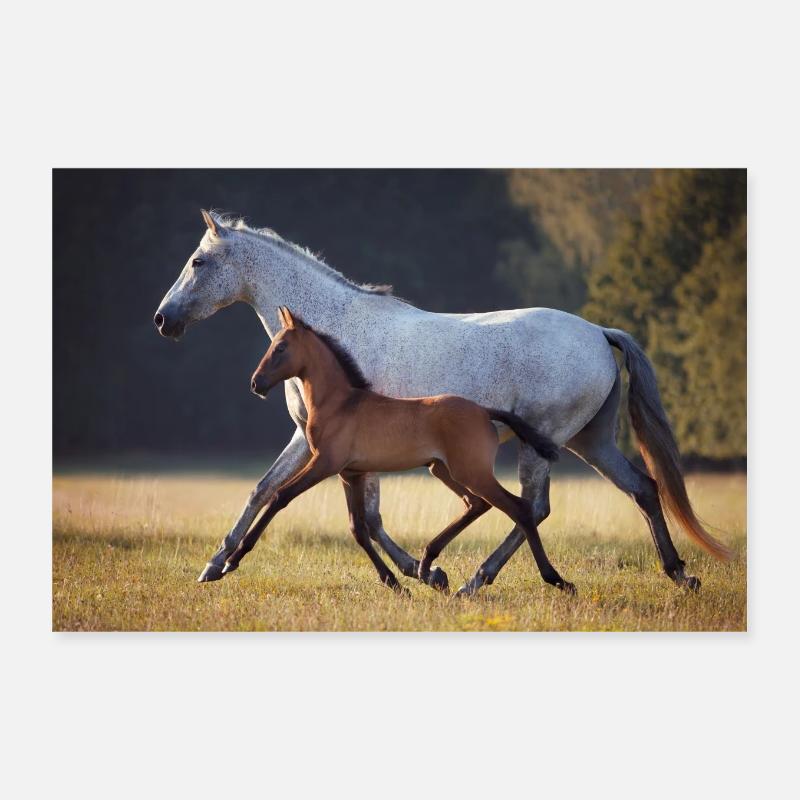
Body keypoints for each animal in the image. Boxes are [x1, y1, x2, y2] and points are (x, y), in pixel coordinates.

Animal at [225, 305, 570, 594]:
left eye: (281, 347)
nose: (256, 383)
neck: (339, 404)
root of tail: (485, 412)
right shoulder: (350, 474)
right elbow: (358, 528)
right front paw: (395, 583)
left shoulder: (324, 464)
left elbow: (279, 496)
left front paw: (232, 559)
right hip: (443, 469)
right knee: (477, 504)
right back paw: (427, 564)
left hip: (471, 472)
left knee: (519, 508)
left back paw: (556, 579)